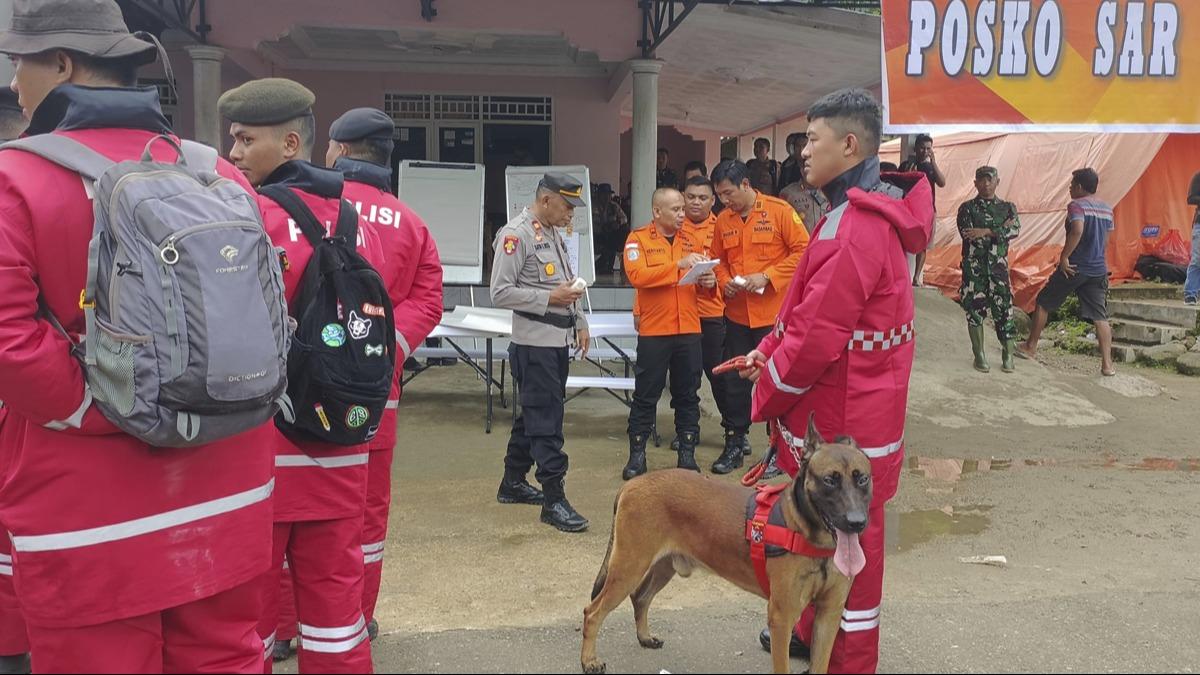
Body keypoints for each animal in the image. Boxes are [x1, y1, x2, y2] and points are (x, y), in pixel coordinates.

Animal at [576, 413, 868, 667]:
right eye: (830, 480)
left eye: (863, 479)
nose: (857, 522)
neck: (808, 533)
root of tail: (631, 485)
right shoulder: (782, 618)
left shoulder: (828, 616)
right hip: (628, 569)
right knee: (592, 612)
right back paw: (589, 661)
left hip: (663, 566)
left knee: (640, 597)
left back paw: (645, 637)